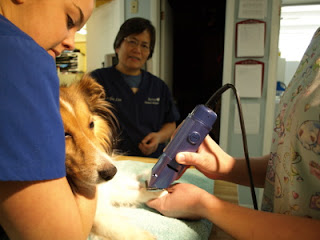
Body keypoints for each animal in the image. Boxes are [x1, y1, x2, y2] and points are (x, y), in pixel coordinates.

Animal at [58, 75, 166, 240]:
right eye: (63, 134)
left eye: (91, 124)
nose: (111, 172)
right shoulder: (94, 216)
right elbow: (117, 228)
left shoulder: (107, 189)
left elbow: (133, 194)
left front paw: (158, 193)